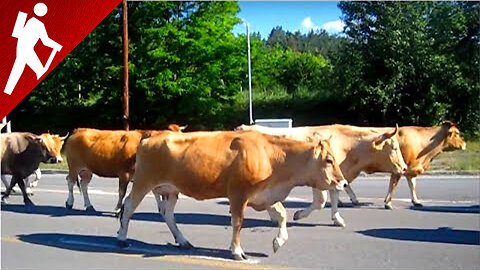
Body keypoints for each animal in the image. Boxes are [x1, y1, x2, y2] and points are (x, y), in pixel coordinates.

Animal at [117, 130, 348, 260]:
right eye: (329, 160)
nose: (343, 182)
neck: (272, 156)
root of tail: (151, 136)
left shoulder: (266, 195)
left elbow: (282, 215)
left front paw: (278, 241)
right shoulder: (238, 194)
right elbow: (238, 222)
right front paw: (237, 251)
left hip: (171, 190)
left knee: (167, 214)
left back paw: (183, 240)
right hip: (143, 181)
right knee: (128, 206)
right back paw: (121, 238)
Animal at [235, 123, 404, 227]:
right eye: (394, 148)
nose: (404, 167)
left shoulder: (337, 179)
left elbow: (335, 197)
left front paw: (337, 219)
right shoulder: (320, 179)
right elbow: (320, 202)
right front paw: (299, 214)